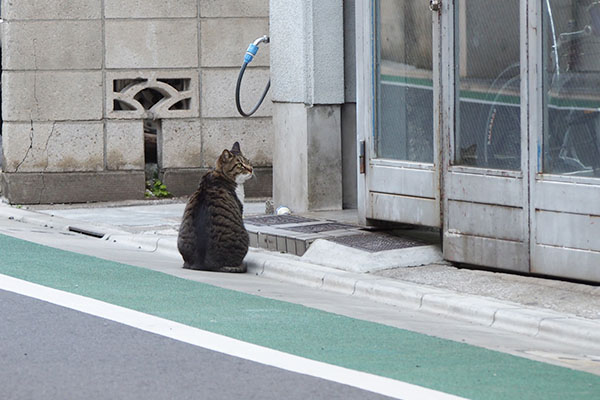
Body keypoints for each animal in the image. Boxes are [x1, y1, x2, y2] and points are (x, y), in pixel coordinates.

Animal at [178, 141, 253, 272]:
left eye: (248, 161)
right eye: (240, 165)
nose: (251, 169)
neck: (219, 174)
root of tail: (204, 264)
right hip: (244, 236)